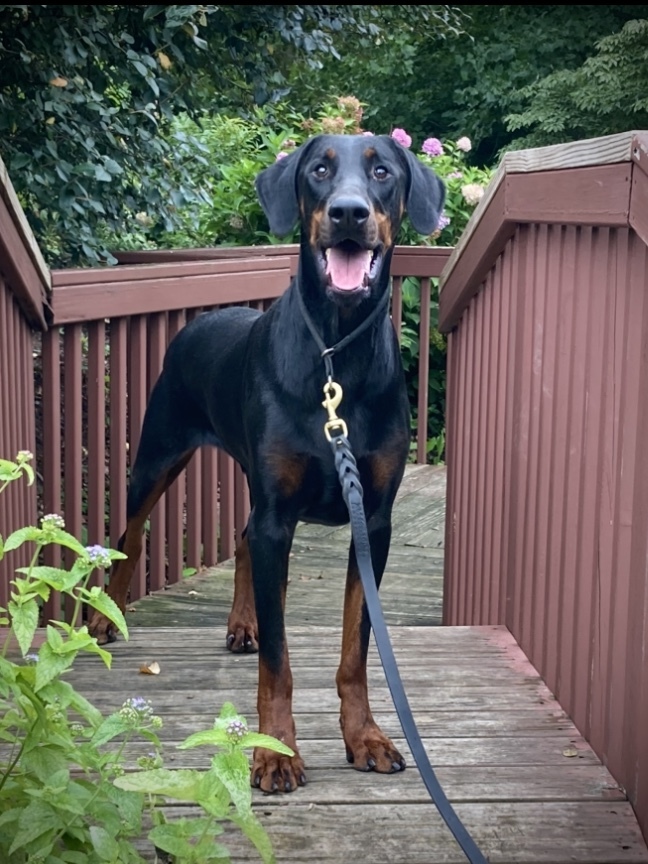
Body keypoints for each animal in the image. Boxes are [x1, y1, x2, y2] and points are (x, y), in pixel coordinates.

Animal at [88, 133, 442, 788]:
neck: (336, 357)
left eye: (382, 171)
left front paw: (365, 736)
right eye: (319, 169)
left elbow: (356, 648)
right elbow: (280, 659)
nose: (348, 213)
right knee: (133, 532)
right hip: (157, 455)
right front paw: (275, 751)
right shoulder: (281, 514)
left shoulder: (373, 520)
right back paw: (107, 617)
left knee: (244, 538)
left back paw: (241, 625)